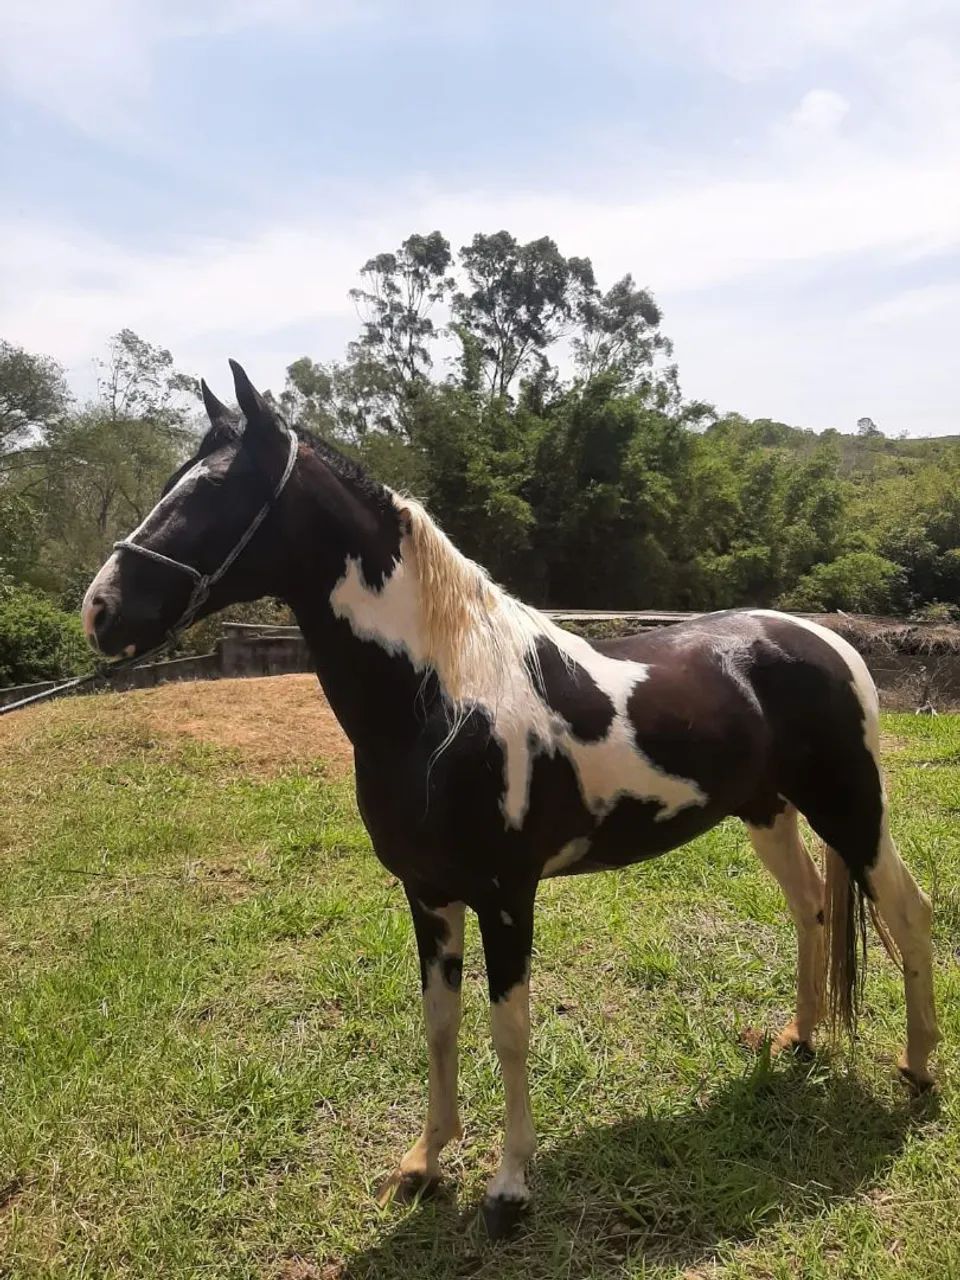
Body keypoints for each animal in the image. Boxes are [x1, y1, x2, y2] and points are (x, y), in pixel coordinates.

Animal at [82, 360, 938, 1236]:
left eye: (212, 493)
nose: (100, 610)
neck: (447, 701)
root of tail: (825, 640)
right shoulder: (428, 894)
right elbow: (440, 1024)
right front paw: (424, 1163)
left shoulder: (504, 897)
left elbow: (510, 1028)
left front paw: (510, 1186)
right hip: (768, 810)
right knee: (813, 906)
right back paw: (801, 1039)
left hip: (853, 809)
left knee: (909, 912)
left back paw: (918, 1069)